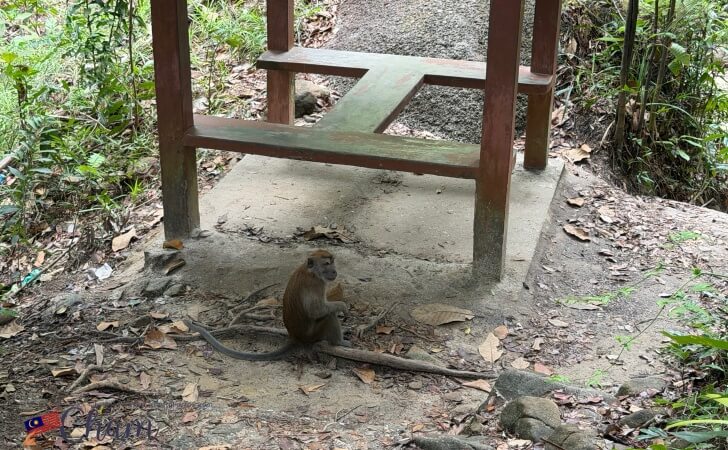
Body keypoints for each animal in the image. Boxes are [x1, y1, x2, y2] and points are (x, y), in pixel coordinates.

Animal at [186, 249, 349, 361]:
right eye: (327, 264)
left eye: (333, 262)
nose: (334, 271)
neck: (312, 272)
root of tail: (295, 337)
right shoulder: (316, 284)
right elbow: (315, 311)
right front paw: (343, 306)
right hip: (312, 335)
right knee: (329, 316)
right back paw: (339, 342)